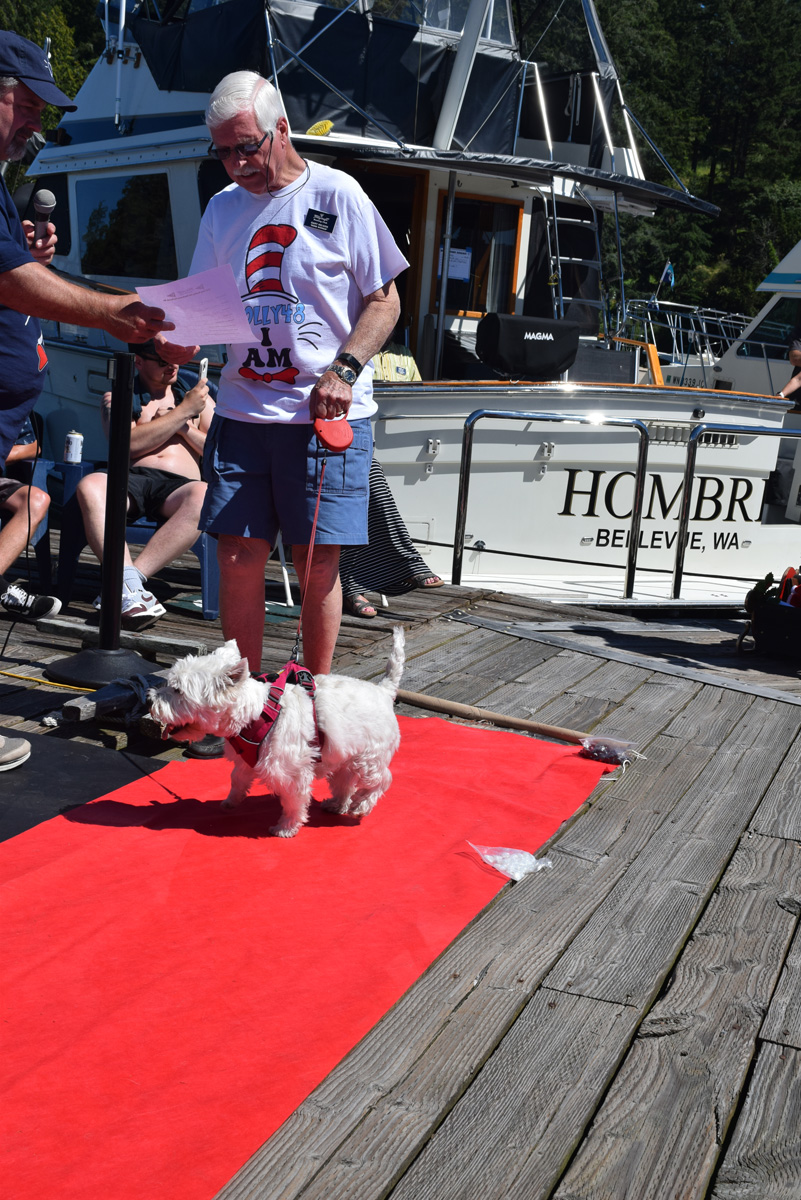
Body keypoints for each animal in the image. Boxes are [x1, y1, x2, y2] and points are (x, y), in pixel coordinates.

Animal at [148, 626, 405, 837]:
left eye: (178, 690)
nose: (150, 700)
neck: (256, 714)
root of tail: (384, 690)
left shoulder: (290, 771)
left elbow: (294, 801)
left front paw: (286, 827)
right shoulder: (246, 760)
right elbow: (237, 779)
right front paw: (231, 801)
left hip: (369, 757)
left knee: (382, 780)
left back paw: (361, 806)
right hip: (344, 754)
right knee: (345, 781)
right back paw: (337, 804)